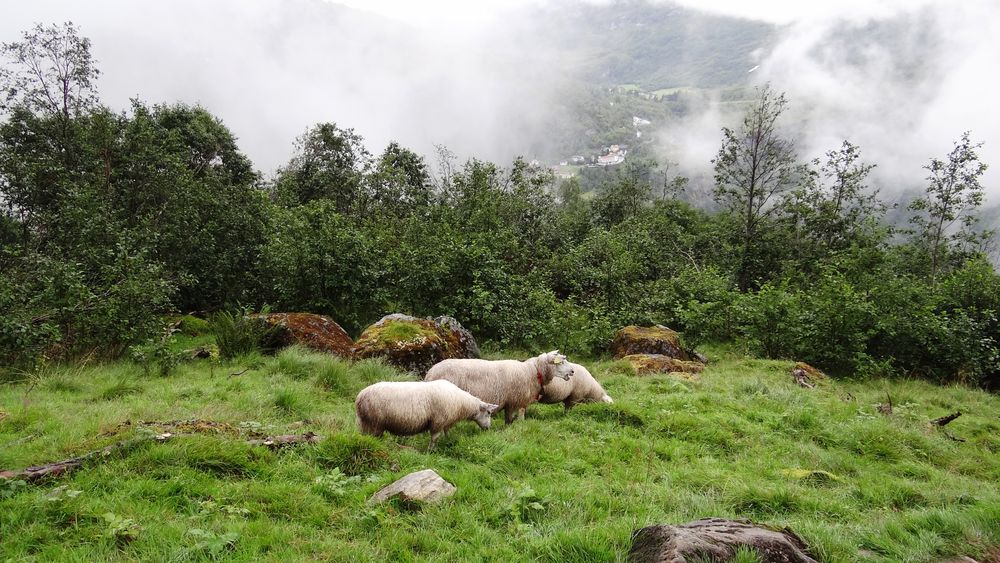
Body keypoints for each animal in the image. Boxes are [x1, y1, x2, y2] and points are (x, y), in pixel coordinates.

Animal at [358, 378, 500, 450]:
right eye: (488, 412)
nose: (488, 428)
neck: (461, 403)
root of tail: (360, 397)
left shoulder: (446, 421)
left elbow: (447, 432)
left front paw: (448, 441)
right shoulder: (438, 421)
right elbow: (435, 438)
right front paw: (431, 451)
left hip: (365, 423)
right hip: (375, 423)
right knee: (375, 438)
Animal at [426, 350, 576, 426]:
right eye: (561, 362)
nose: (573, 371)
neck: (532, 371)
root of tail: (430, 372)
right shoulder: (512, 401)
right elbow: (509, 419)